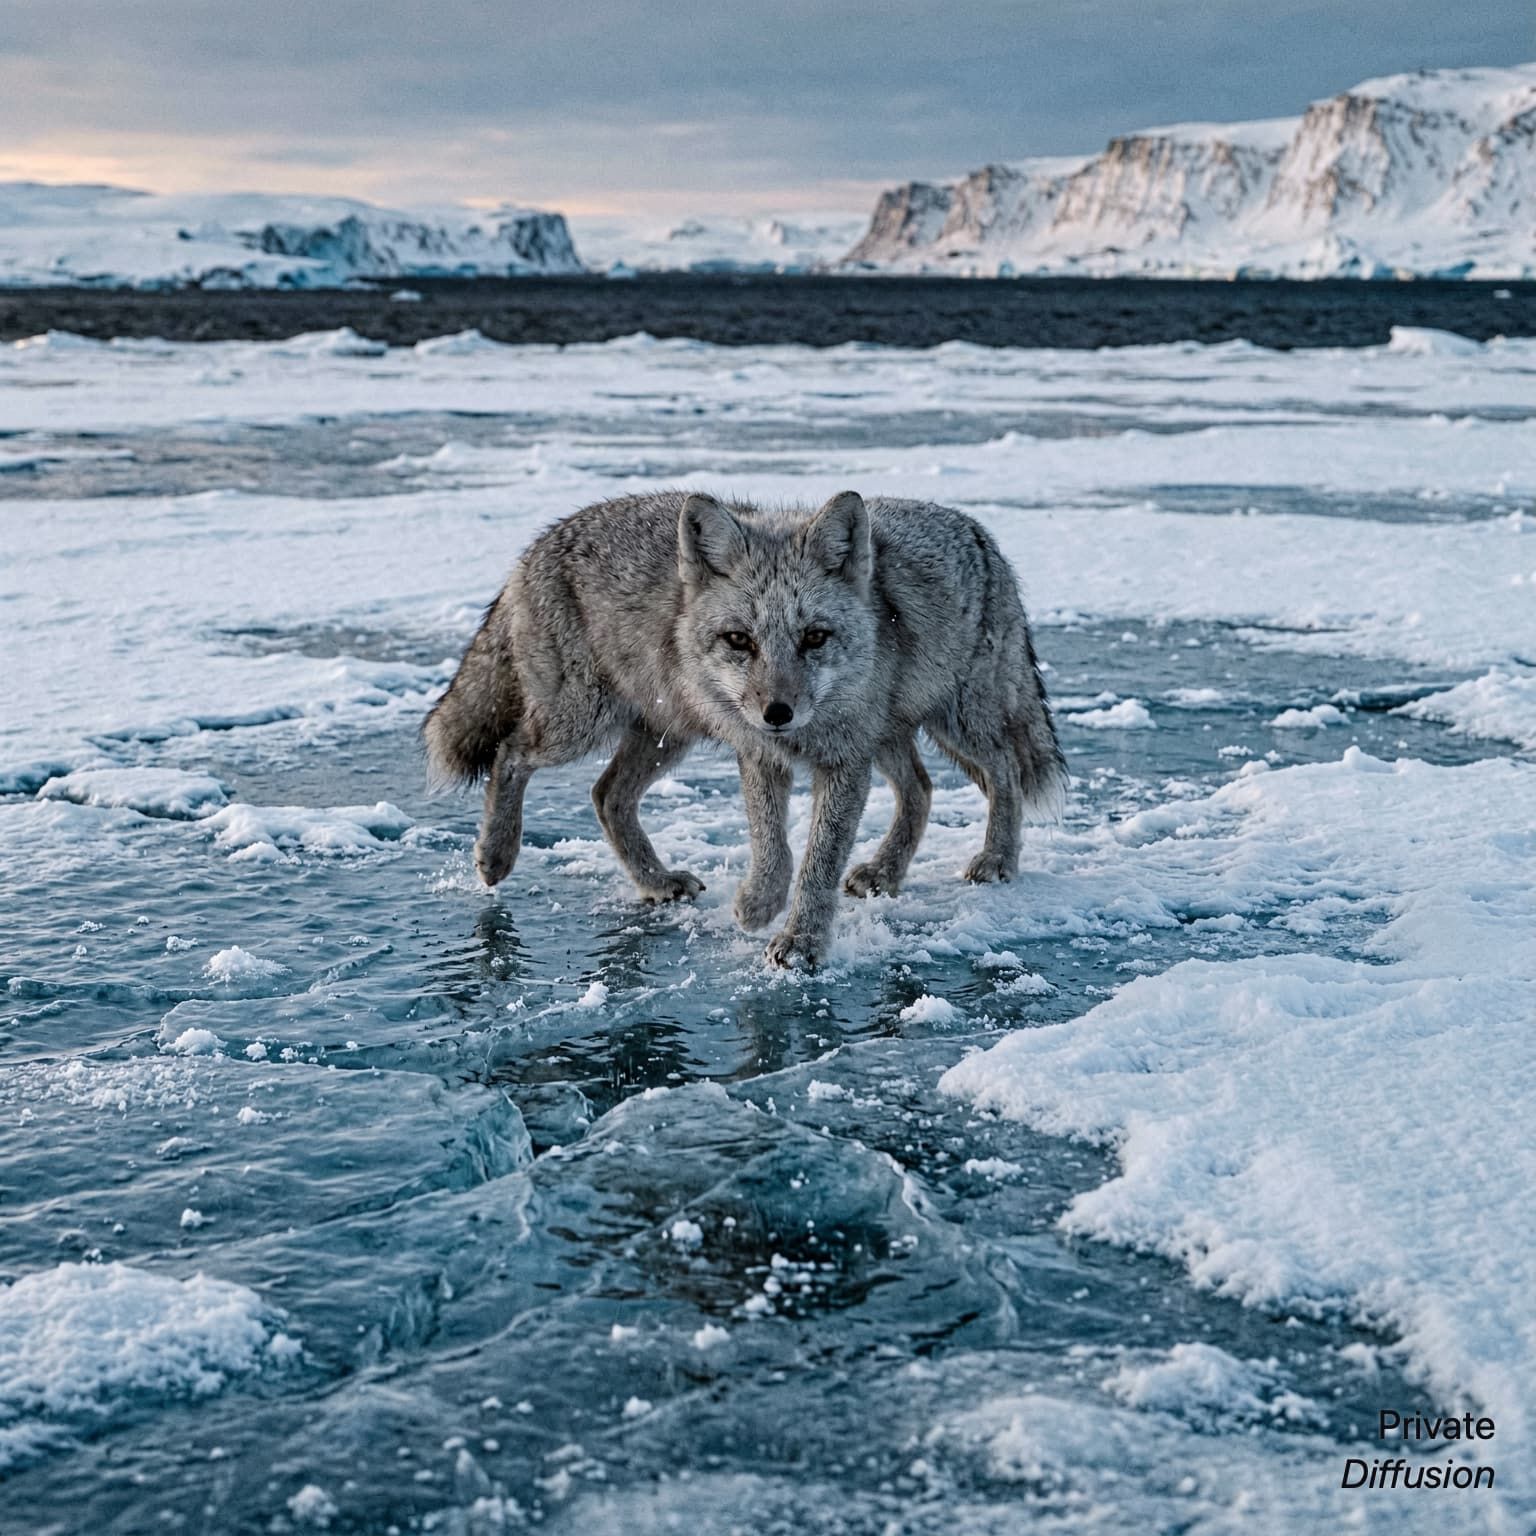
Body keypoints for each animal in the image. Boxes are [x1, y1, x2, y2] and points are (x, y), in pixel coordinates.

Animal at [424, 489, 1065, 969]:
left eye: (814, 637)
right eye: (739, 640)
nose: (777, 712)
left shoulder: (843, 759)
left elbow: (817, 862)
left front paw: (800, 943)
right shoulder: (761, 753)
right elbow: (773, 846)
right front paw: (760, 904)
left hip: (946, 723)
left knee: (993, 773)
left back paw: (989, 861)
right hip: (596, 727)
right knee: (528, 760)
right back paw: (507, 856)